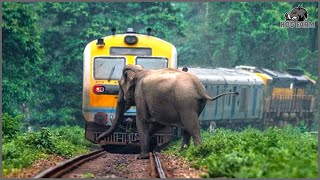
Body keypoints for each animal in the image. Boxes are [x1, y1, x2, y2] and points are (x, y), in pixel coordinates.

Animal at [96, 64, 239, 159]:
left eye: (120, 86)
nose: (98, 140)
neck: (140, 71)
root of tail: (200, 88)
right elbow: (157, 124)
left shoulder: (140, 95)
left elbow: (141, 120)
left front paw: (142, 157)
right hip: (197, 104)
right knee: (188, 127)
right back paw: (181, 152)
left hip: (185, 101)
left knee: (191, 126)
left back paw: (198, 153)